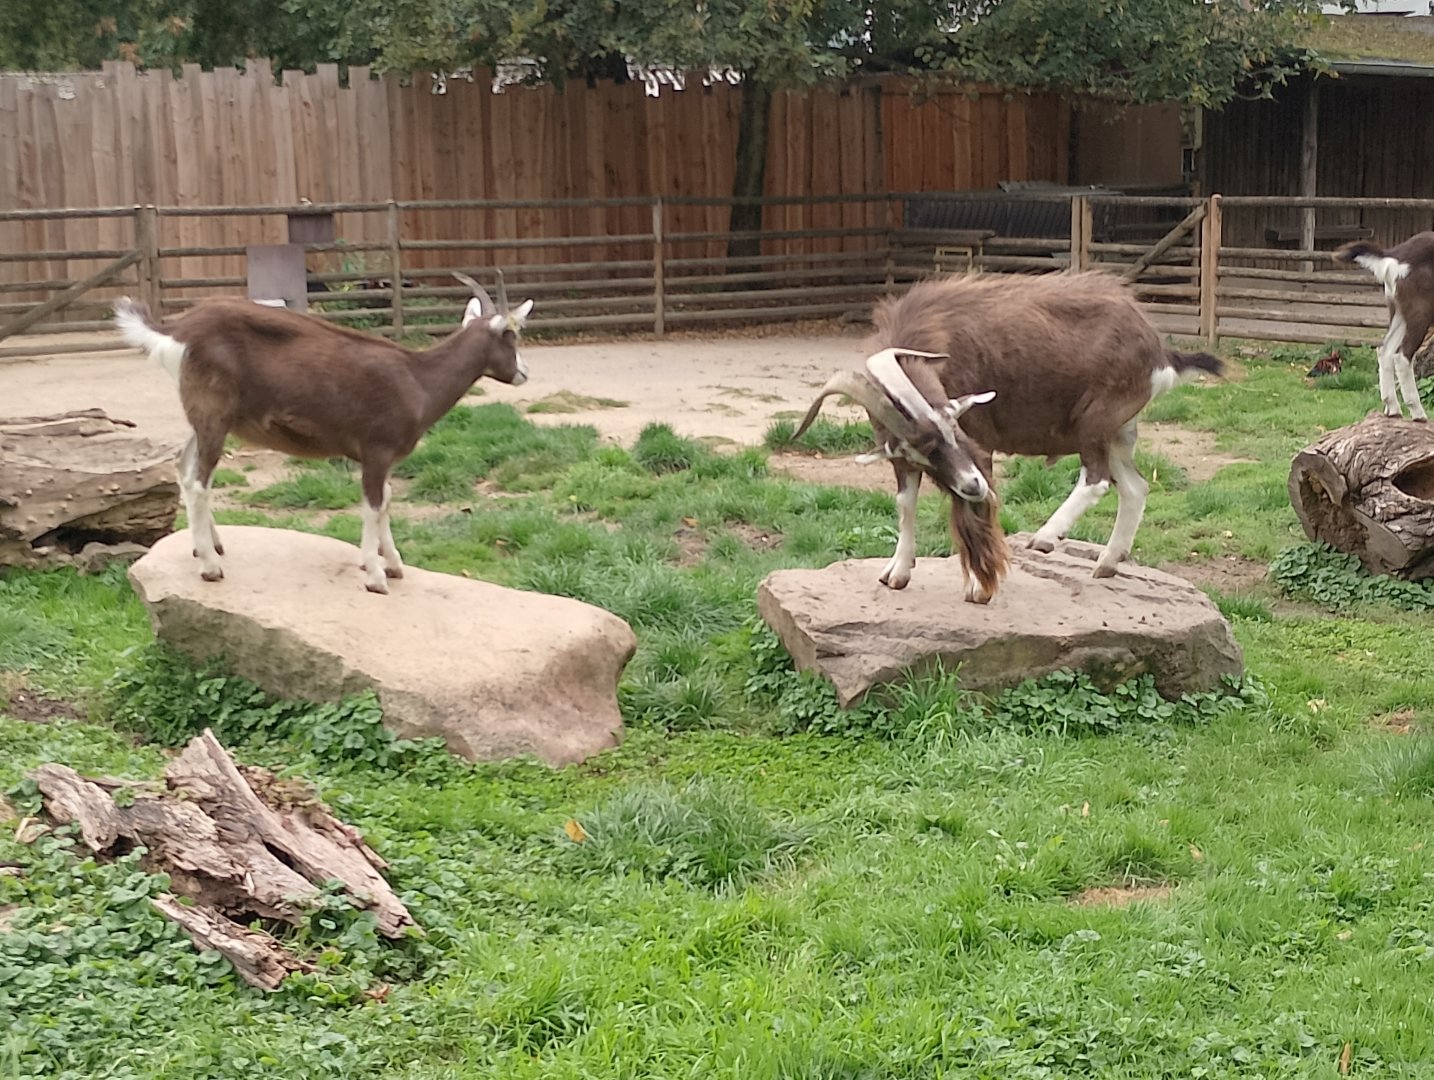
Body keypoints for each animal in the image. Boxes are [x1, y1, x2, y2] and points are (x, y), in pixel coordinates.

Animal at [113, 272, 533, 593]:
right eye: (512, 334)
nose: (524, 373)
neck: (419, 379)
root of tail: (175, 329)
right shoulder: (376, 449)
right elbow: (374, 504)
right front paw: (375, 575)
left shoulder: (385, 458)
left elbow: (387, 500)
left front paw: (393, 563)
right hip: (212, 412)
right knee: (199, 481)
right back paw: (210, 567)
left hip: (205, 418)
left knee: (184, 469)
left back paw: (209, 548)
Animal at [794, 271, 1223, 603]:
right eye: (921, 454)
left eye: (955, 427)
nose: (973, 485)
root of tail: (1158, 350)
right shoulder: (906, 462)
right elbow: (906, 504)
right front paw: (897, 572)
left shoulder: (980, 446)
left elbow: (969, 516)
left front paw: (978, 587)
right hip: (1118, 431)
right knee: (1135, 487)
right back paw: (1106, 563)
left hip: (1096, 422)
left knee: (1097, 479)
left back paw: (1046, 537)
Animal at [1335, 234, 1432, 422]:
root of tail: (1394, 256)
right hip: (1421, 309)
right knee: (1402, 356)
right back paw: (1418, 413)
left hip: (1398, 309)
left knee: (1384, 349)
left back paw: (1392, 408)